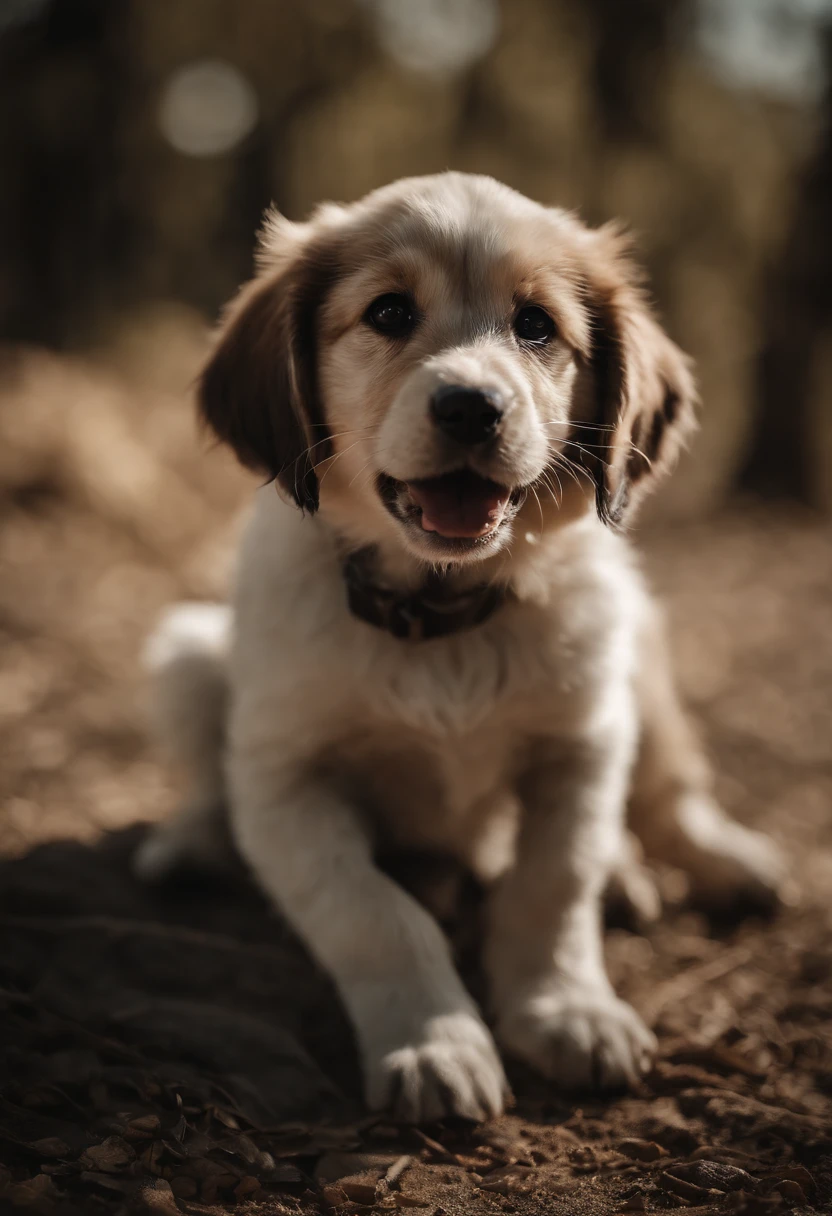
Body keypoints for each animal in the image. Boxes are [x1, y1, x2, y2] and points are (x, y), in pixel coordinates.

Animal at [136, 171, 788, 1118]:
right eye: (388, 313)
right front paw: (435, 1042)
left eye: (537, 325)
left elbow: (554, 884)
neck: (440, 614)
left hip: (640, 649)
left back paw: (707, 862)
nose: (472, 408)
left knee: (670, 794)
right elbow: (373, 913)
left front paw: (567, 1011)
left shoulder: (583, 744)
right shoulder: (284, 779)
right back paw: (190, 844)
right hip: (186, 654)